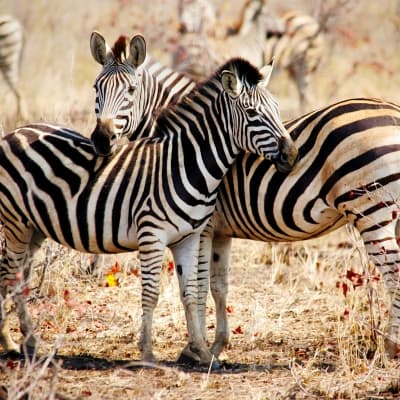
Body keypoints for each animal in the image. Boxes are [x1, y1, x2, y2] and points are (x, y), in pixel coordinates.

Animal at [0, 49, 296, 366]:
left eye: (277, 108)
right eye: (253, 114)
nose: (292, 154)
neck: (186, 165)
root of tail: (17, 130)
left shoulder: (188, 237)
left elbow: (190, 292)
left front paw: (202, 353)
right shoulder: (152, 234)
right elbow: (152, 293)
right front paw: (148, 353)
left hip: (34, 227)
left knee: (18, 277)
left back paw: (23, 342)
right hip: (16, 223)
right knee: (11, 277)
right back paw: (15, 342)